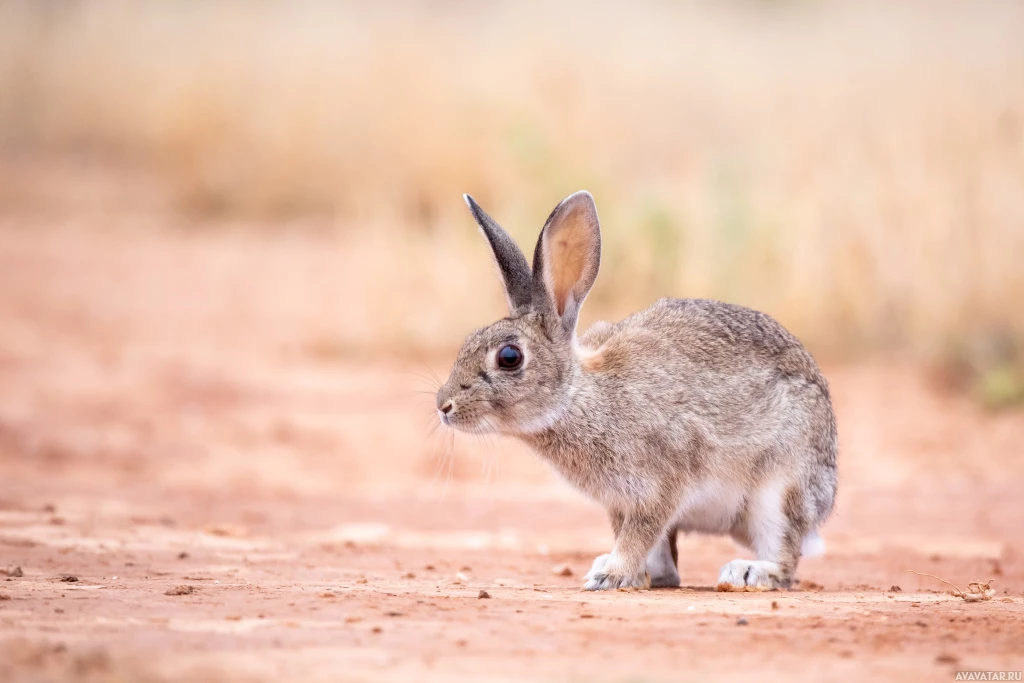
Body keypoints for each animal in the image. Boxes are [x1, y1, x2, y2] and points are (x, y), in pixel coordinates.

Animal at [436, 189, 835, 589]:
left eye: (509, 357)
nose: (444, 405)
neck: (579, 398)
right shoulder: (620, 500)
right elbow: (641, 539)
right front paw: (624, 573)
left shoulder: (662, 484)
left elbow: (639, 534)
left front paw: (612, 575)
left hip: (781, 490)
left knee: (785, 555)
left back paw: (749, 571)